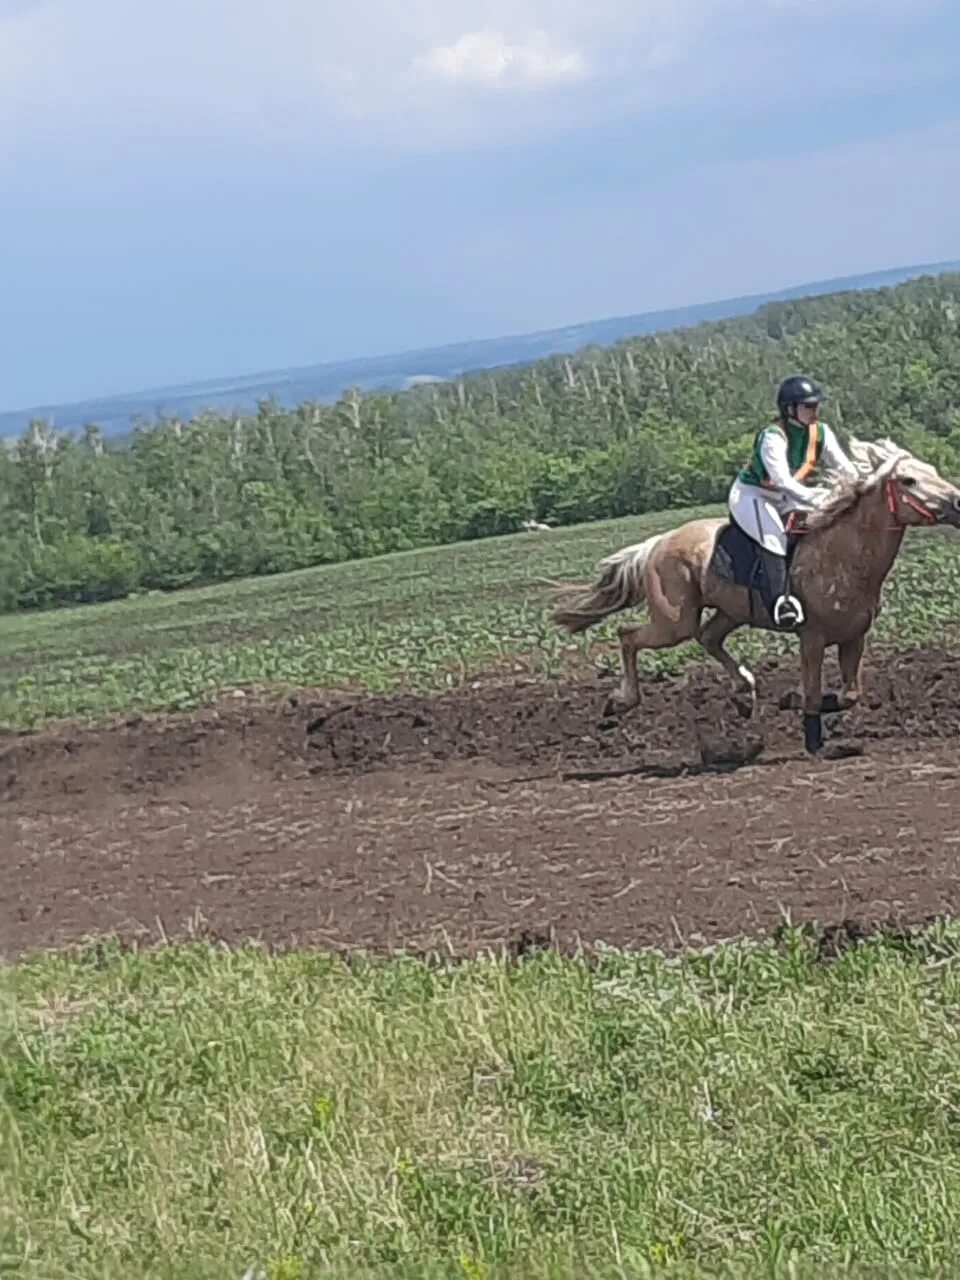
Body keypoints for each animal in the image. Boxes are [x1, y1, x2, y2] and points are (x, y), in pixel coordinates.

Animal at [552, 435, 960, 752]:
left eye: (933, 470)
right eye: (908, 480)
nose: (957, 502)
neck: (842, 556)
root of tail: (656, 544)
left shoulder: (852, 638)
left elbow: (850, 694)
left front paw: (794, 701)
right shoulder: (812, 638)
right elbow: (814, 694)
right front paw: (808, 729)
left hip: (730, 612)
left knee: (708, 637)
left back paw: (743, 693)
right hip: (673, 622)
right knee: (628, 636)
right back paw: (621, 701)